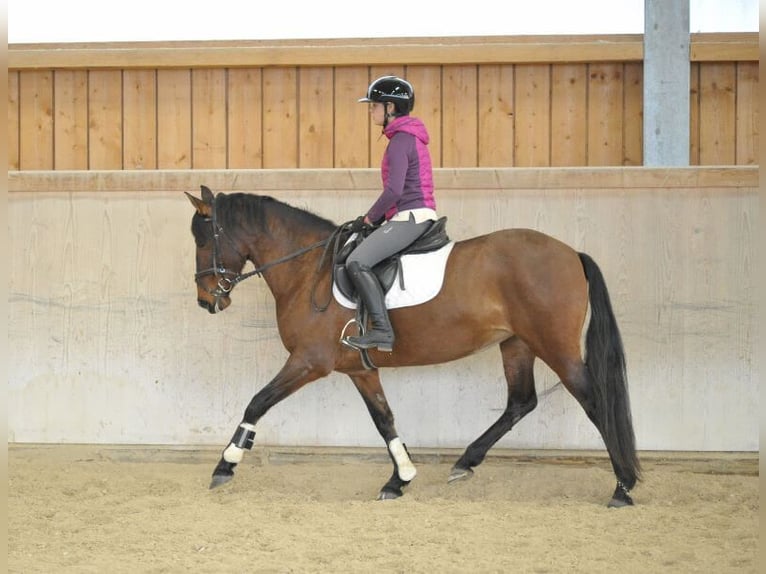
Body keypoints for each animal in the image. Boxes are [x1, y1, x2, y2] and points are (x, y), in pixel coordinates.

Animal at [186, 184, 640, 508]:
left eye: (203, 241)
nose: (207, 301)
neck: (307, 269)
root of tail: (571, 253)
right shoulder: (359, 368)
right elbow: (384, 420)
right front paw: (399, 479)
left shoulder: (309, 361)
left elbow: (256, 403)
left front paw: (225, 465)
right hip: (516, 343)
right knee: (520, 401)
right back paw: (464, 462)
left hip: (555, 347)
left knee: (595, 402)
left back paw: (623, 487)